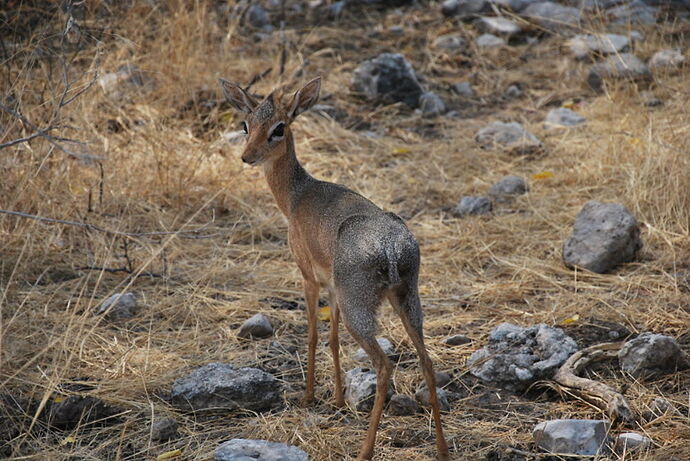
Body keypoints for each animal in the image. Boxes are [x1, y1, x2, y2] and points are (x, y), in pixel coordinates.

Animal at [218, 77, 448, 458]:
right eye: (245, 124)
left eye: (279, 127)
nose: (247, 156)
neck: (296, 197)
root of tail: (390, 248)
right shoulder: (333, 287)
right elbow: (333, 338)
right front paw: (338, 399)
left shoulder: (309, 277)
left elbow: (312, 335)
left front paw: (309, 397)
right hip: (407, 298)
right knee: (427, 361)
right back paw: (442, 449)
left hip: (362, 308)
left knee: (384, 365)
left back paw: (365, 450)